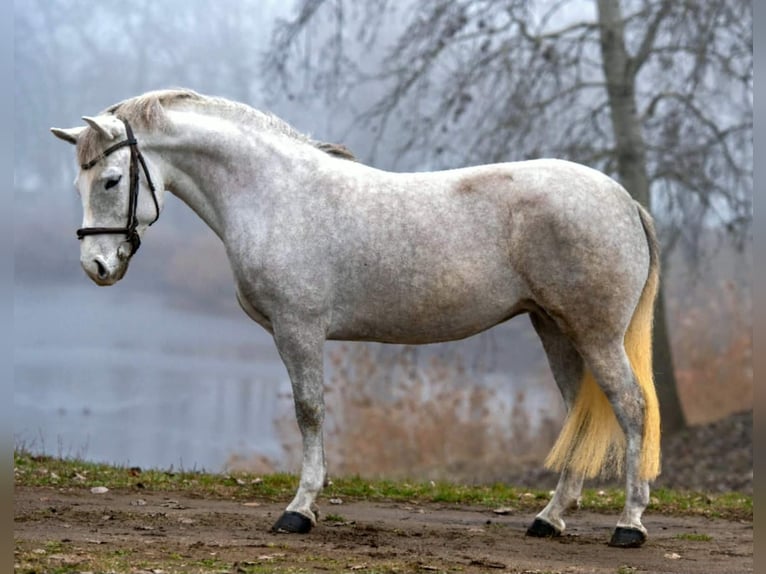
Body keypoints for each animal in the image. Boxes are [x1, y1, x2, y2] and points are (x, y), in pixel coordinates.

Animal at [51, 88, 661, 548]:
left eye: (110, 180)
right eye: (78, 182)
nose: (96, 266)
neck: (275, 195)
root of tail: (623, 200)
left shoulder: (298, 329)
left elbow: (309, 411)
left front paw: (299, 510)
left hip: (594, 333)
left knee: (631, 407)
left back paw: (629, 525)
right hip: (556, 329)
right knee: (582, 413)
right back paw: (549, 519)